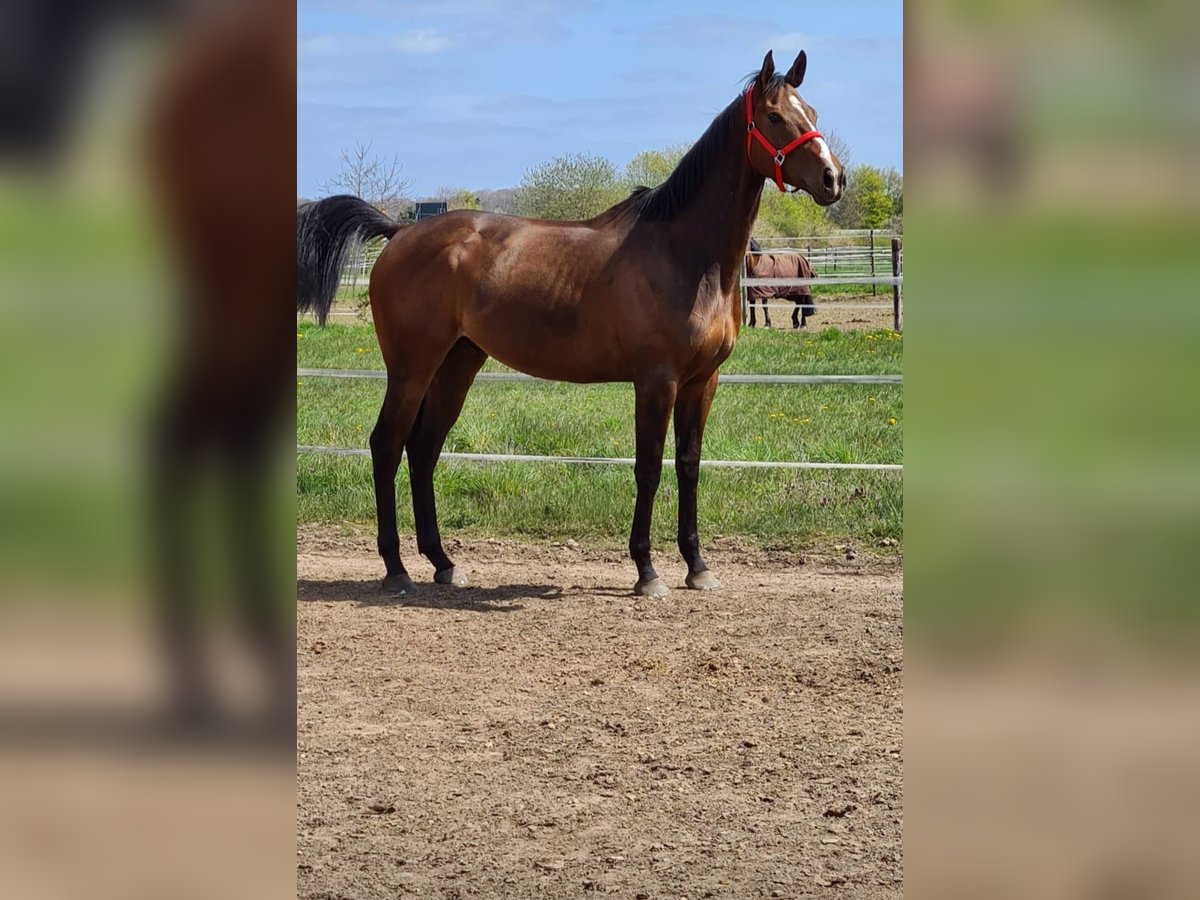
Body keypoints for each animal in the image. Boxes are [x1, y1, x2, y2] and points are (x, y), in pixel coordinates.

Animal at [297, 47, 844, 600]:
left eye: (812, 112)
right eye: (774, 117)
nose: (833, 178)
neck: (684, 254)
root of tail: (399, 232)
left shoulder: (701, 381)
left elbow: (688, 466)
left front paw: (697, 566)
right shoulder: (657, 380)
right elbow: (649, 468)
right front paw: (647, 572)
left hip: (457, 364)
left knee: (423, 449)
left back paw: (443, 562)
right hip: (411, 368)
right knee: (387, 445)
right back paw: (396, 569)